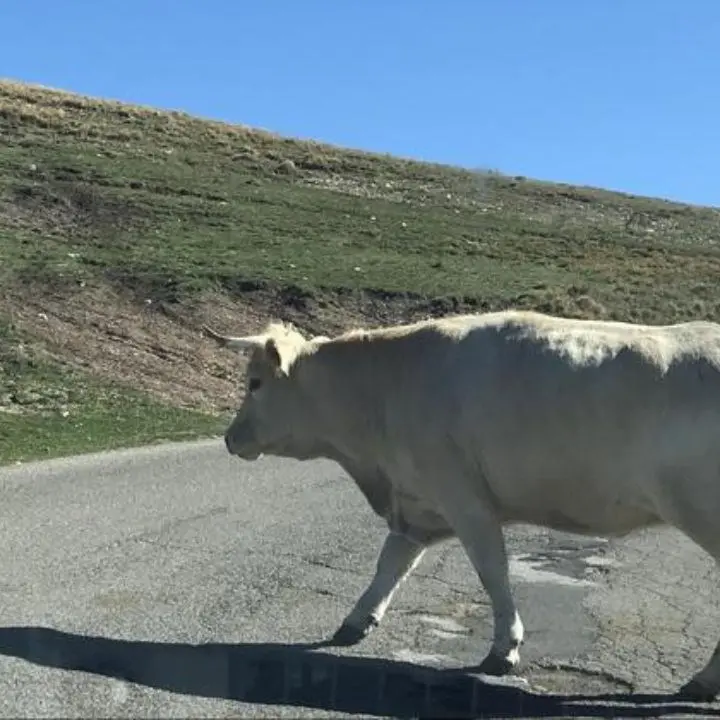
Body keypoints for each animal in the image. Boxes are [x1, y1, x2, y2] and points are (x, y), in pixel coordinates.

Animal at [203, 309, 720, 701]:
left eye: (254, 383)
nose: (229, 439)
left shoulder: (465, 501)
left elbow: (493, 572)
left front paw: (504, 650)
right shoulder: (417, 504)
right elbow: (390, 566)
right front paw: (355, 622)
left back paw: (702, 682)